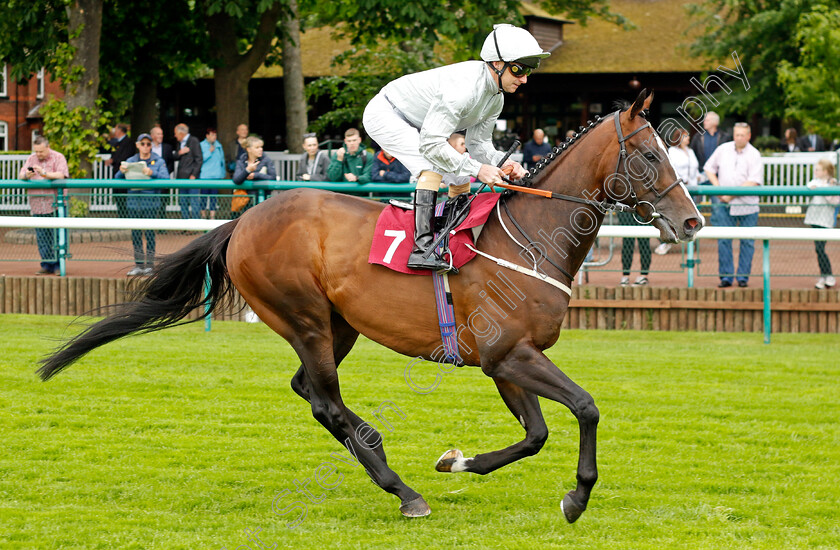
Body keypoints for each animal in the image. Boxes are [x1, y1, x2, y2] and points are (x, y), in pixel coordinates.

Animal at [37, 90, 704, 528]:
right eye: (649, 155)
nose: (692, 222)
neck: (531, 236)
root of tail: (244, 219)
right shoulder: (507, 354)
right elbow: (586, 408)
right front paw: (576, 498)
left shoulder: (507, 359)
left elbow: (536, 434)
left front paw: (457, 461)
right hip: (304, 317)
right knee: (325, 400)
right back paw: (399, 486)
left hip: (338, 325)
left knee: (308, 391)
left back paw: (384, 462)